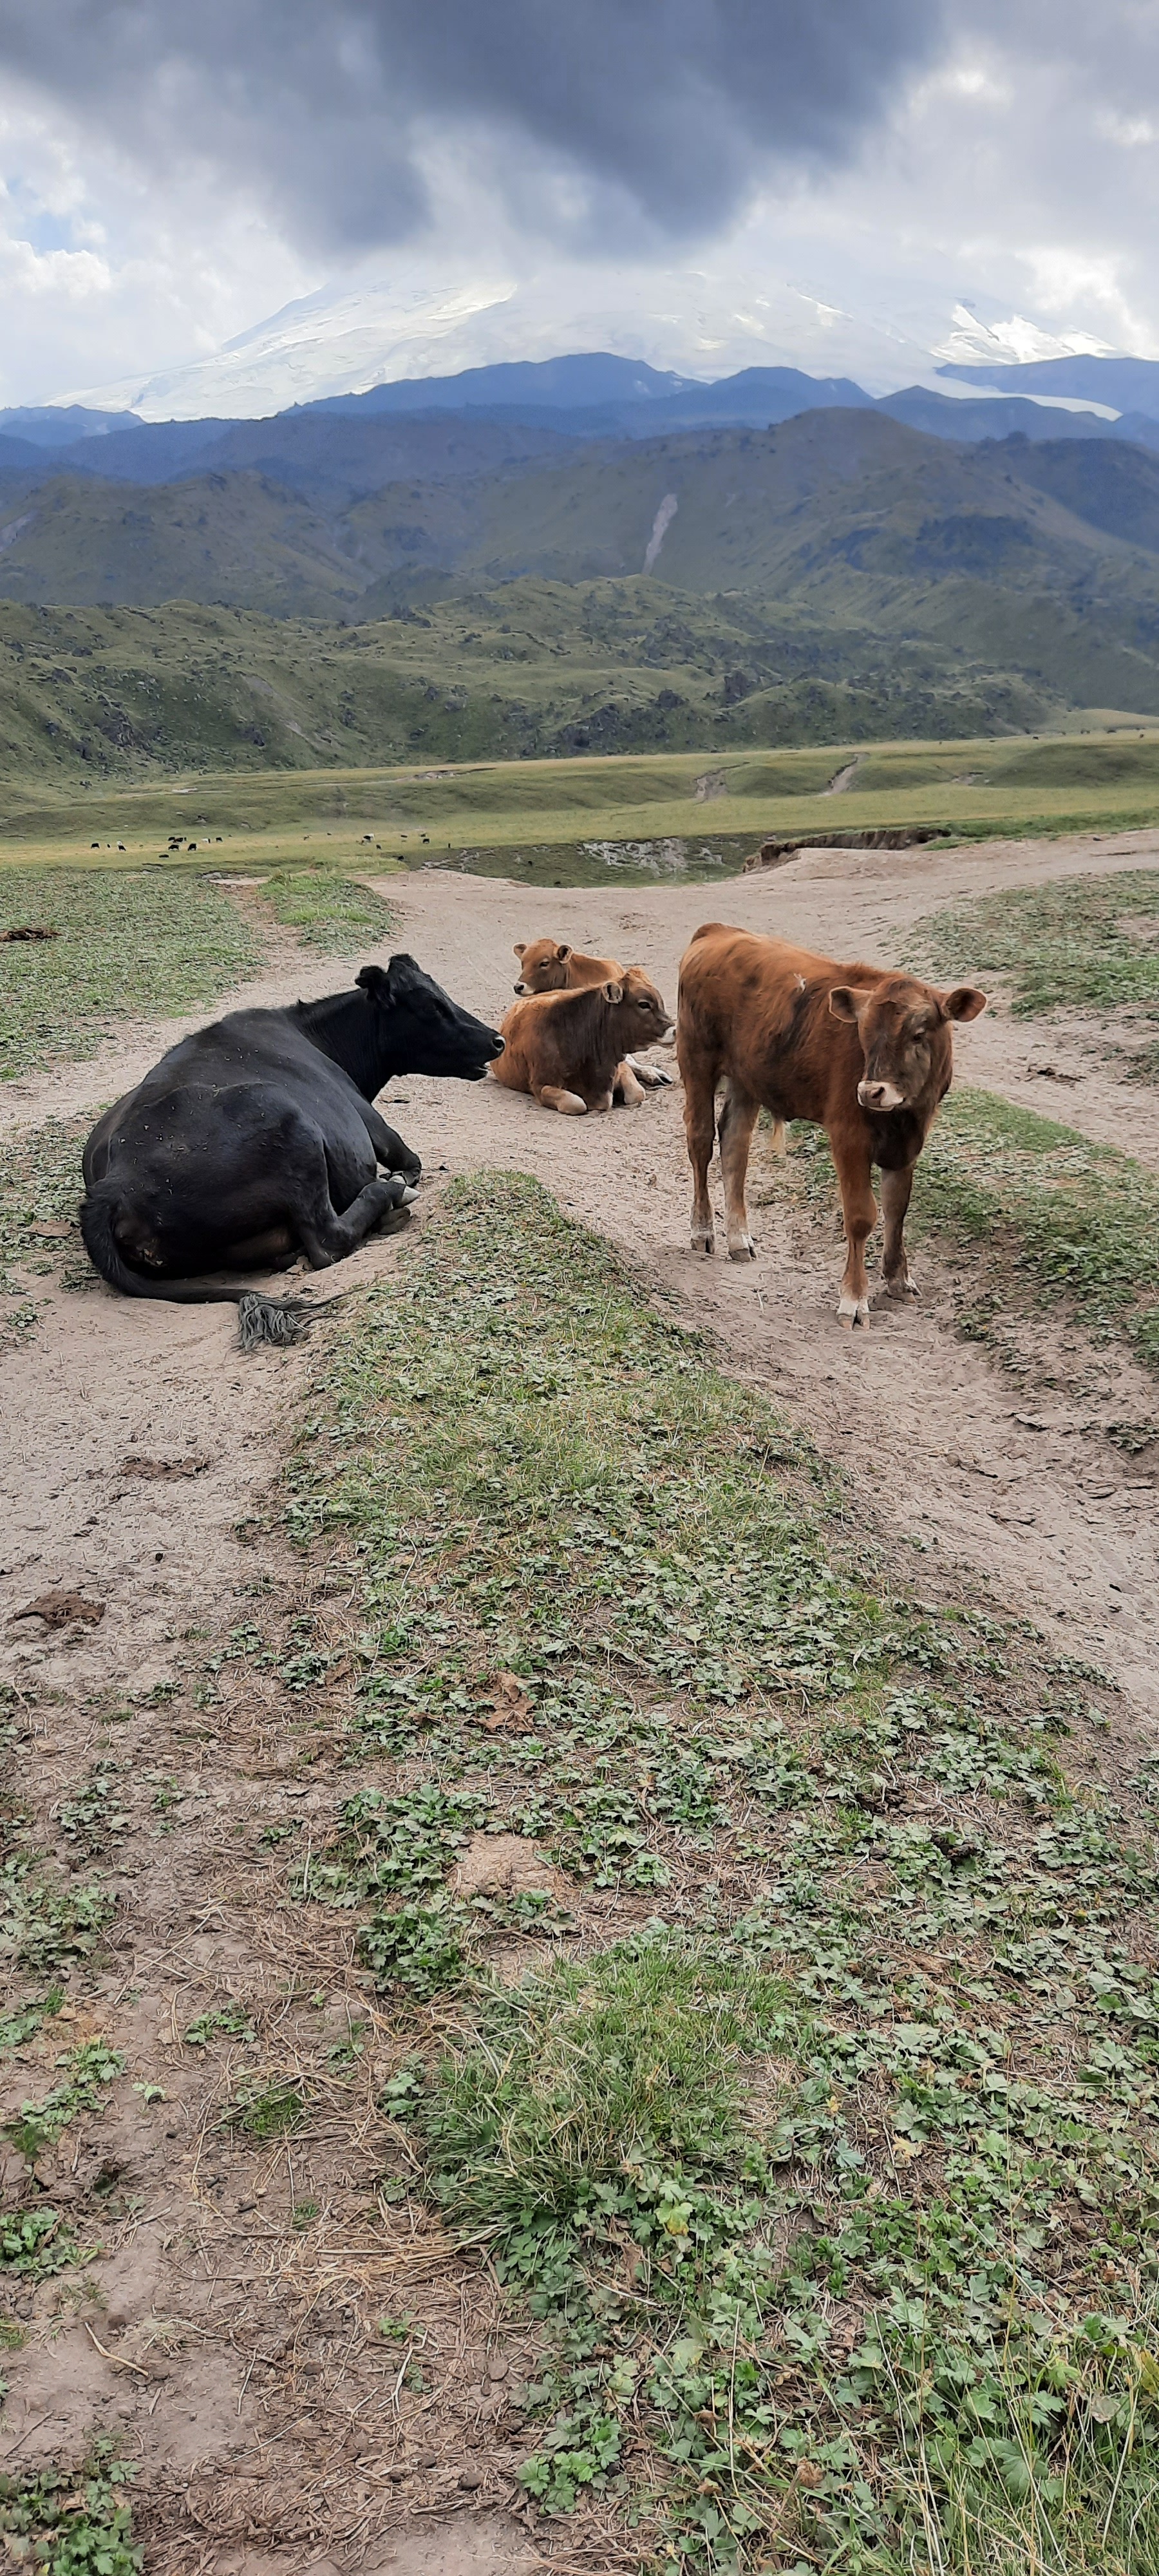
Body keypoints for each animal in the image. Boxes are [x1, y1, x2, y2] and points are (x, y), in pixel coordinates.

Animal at [77, 958, 502, 1319]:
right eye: (431, 1006)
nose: (497, 1040)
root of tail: (119, 1181)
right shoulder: (373, 1124)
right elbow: (410, 1162)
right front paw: (398, 1182)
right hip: (296, 1132)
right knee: (328, 1241)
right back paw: (391, 1199)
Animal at [495, 969, 675, 1118]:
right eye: (644, 1004)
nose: (674, 1030)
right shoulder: (541, 1086)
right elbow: (576, 1104)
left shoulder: (619, 1064)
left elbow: (636, 1093)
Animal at [675, 927, 984, 1329]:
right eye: (863, 1033)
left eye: (918, 1033)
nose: (870, 1091)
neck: (903, 1115)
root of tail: (719, 931)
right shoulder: (848, 1135)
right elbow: (861, 1216)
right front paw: (854, 1299)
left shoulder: (909, 1143)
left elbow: (897, 1208)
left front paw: (899, 1279)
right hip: (697, 1059)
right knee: (701, 1142)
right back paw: (703, 1230)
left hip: (747, 1079)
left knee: (735, 1147)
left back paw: (739, 1238)